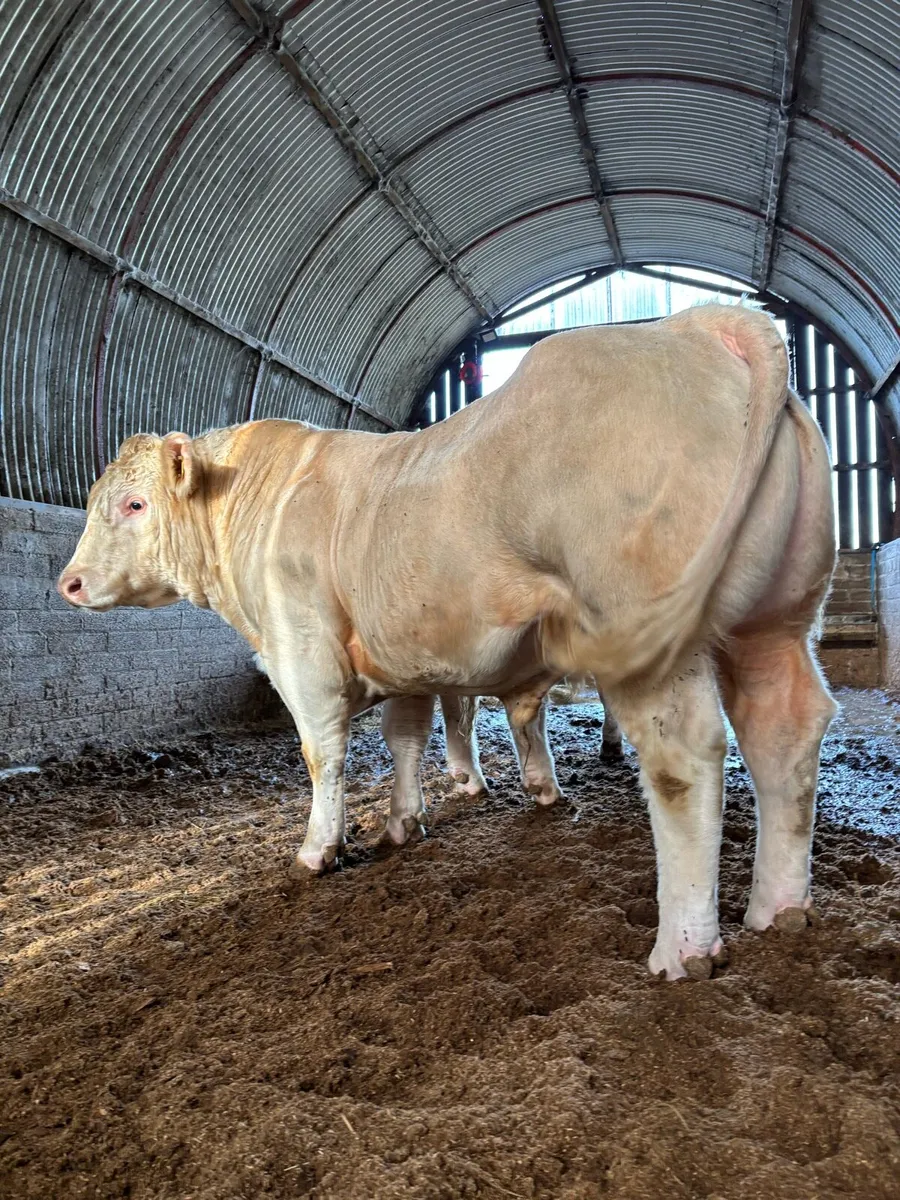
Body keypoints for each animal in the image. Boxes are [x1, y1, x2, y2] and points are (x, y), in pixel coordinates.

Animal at [58, 304, 837, 980]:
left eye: (134, 504)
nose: (68, 582)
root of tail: (697, 322)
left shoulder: (303, 653)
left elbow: (323, 753)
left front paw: (318, 851)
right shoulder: (403, 655)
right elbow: (406, 736)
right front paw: (403, 823)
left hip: (650, 635)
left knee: (685, 759)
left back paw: (684, 947)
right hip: (775, 621)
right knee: (783, 728)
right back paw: (778, 910)